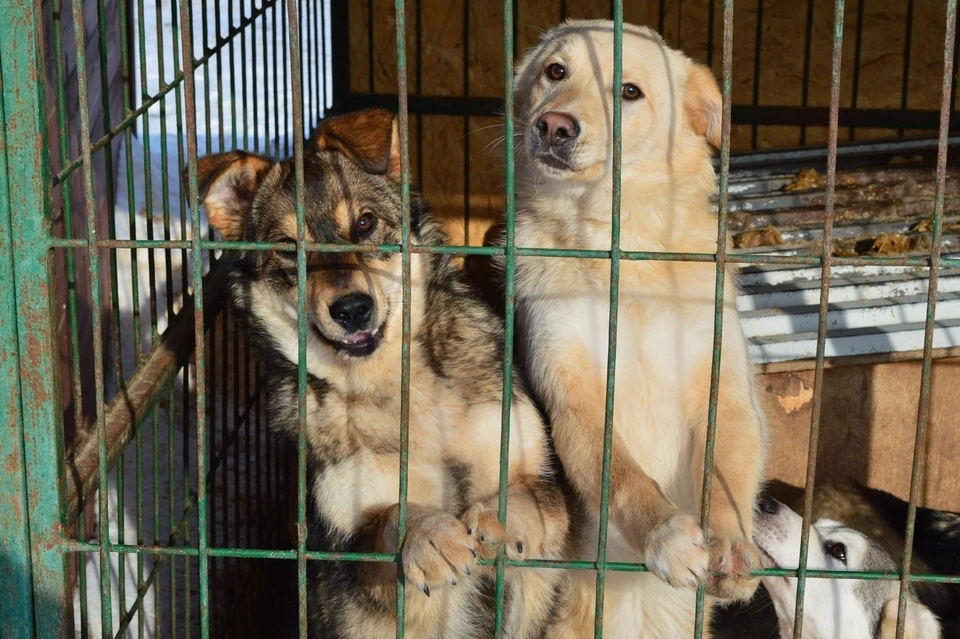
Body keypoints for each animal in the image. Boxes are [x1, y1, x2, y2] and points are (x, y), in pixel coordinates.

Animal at [190, 111, 572, 639]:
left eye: (365, 223)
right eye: (288, 249)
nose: (352, 309)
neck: (399, 391)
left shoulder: (540, 481)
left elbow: (536, 495)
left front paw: (504, 513)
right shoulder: (352, 564)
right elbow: (387, 519)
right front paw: (425, 534)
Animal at [510, 18, 772, 636]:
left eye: (630, 91)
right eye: (555, 71)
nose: (553, 126)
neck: (627, 256)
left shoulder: (725, 390)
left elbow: (726, 475)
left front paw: (730, 545)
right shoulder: (573, 394)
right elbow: (623, 478)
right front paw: (666, 536)